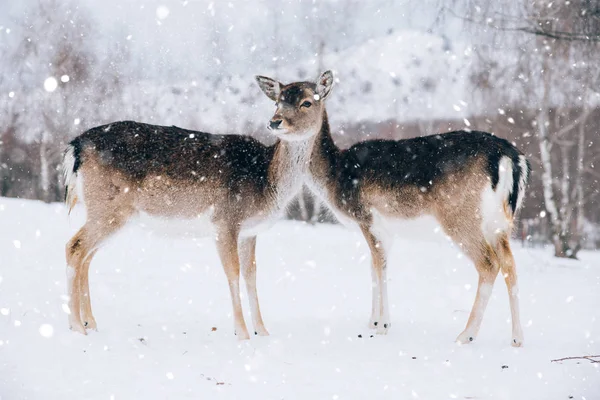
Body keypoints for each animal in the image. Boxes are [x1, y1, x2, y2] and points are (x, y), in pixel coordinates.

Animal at [255, 70, 532, 346]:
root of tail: (511, 158)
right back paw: (517, 338)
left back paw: (466, 334)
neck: (336, 177)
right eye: (277, 101)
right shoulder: (383, 230)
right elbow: (376, 268)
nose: (275, 122)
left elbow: (379, 267)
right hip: (501, 222)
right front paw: (372, 322)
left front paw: (381, 325)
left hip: (461, 216)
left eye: (307, 102)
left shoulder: (367, 218)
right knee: (510, 264)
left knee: (488, 263)